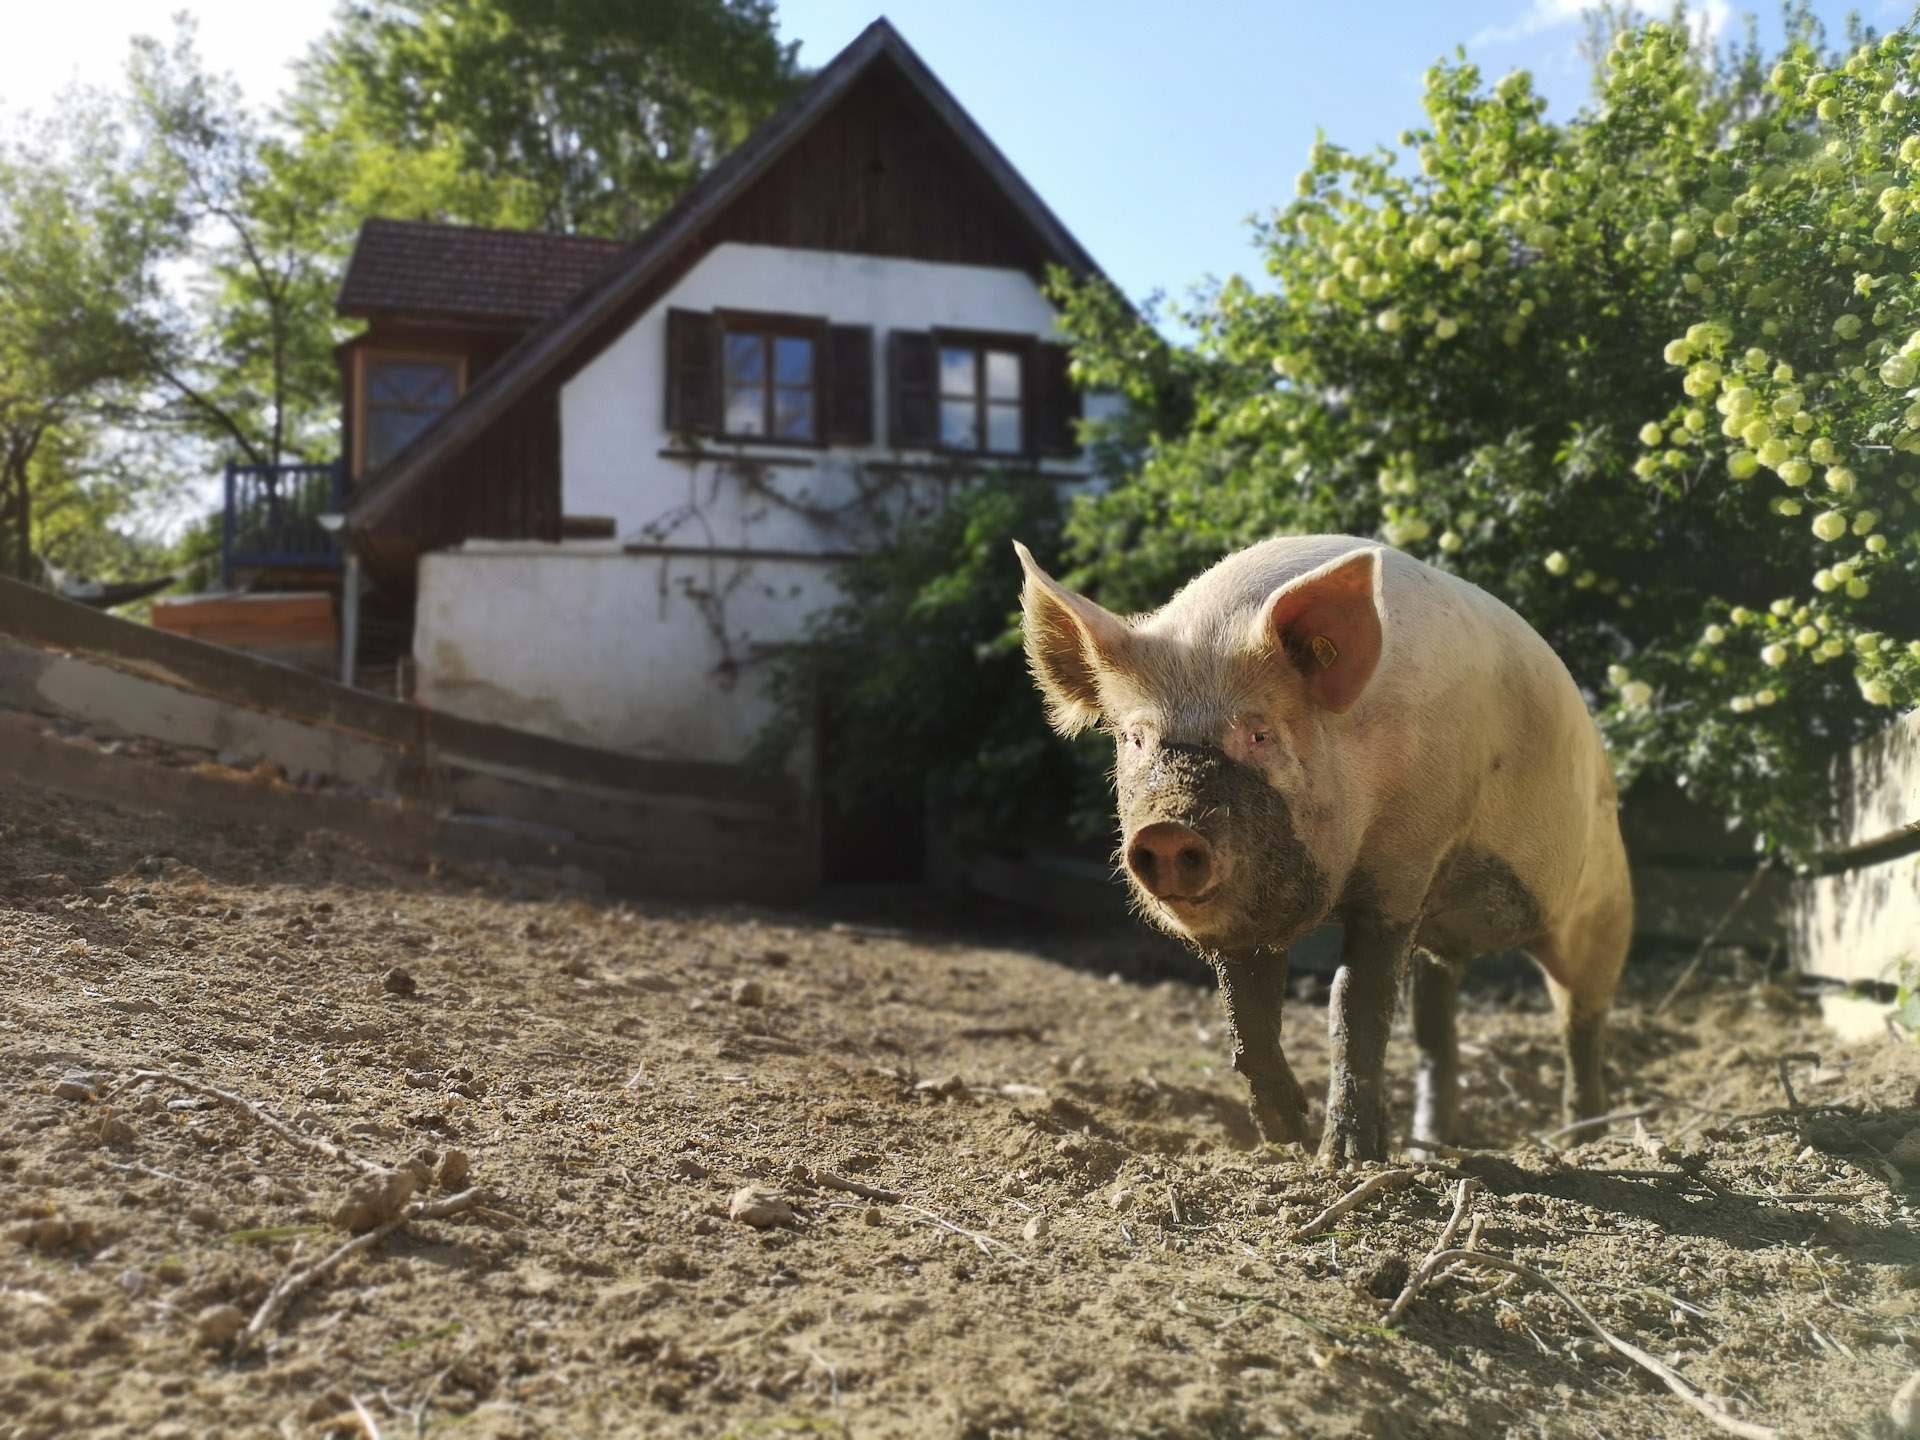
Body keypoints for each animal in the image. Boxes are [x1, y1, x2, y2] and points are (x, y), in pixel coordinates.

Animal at [1013, 537, 1628, 1167]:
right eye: (1136, 739)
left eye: (1259, 734)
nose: (1165, 831)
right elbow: (1249, 1020)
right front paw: (1287, 1142)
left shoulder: (1407, 868)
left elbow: (1353, 1005)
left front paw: (1344, 1160)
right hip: (1452, 944)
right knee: (1435, 1026)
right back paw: (1431, 1149)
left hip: (1604, 897)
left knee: (1582, 1018)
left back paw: (1584, 1140)